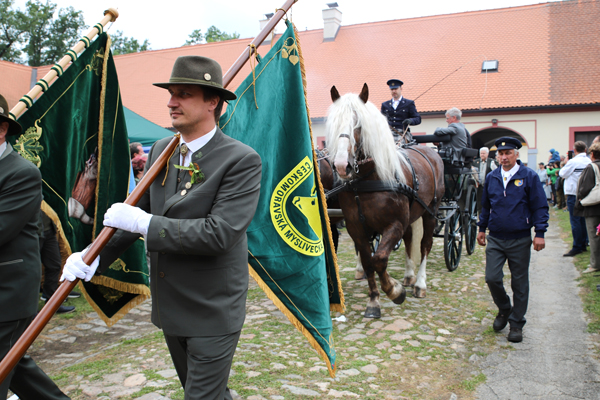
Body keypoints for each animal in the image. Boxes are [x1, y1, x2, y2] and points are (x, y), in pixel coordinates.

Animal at [324, 84, 446, 318]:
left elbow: (379, 259)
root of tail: (430, 151)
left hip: (431, 211)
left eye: (359, 124)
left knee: (425, 245)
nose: (342, 165)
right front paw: (374, 300)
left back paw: (420, 284)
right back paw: (408, 276)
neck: (366, 181)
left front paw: (394, 291)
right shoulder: (356, 228)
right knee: (409, 239)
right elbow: (368, 262)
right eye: (333, 124)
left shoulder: (394, 225)